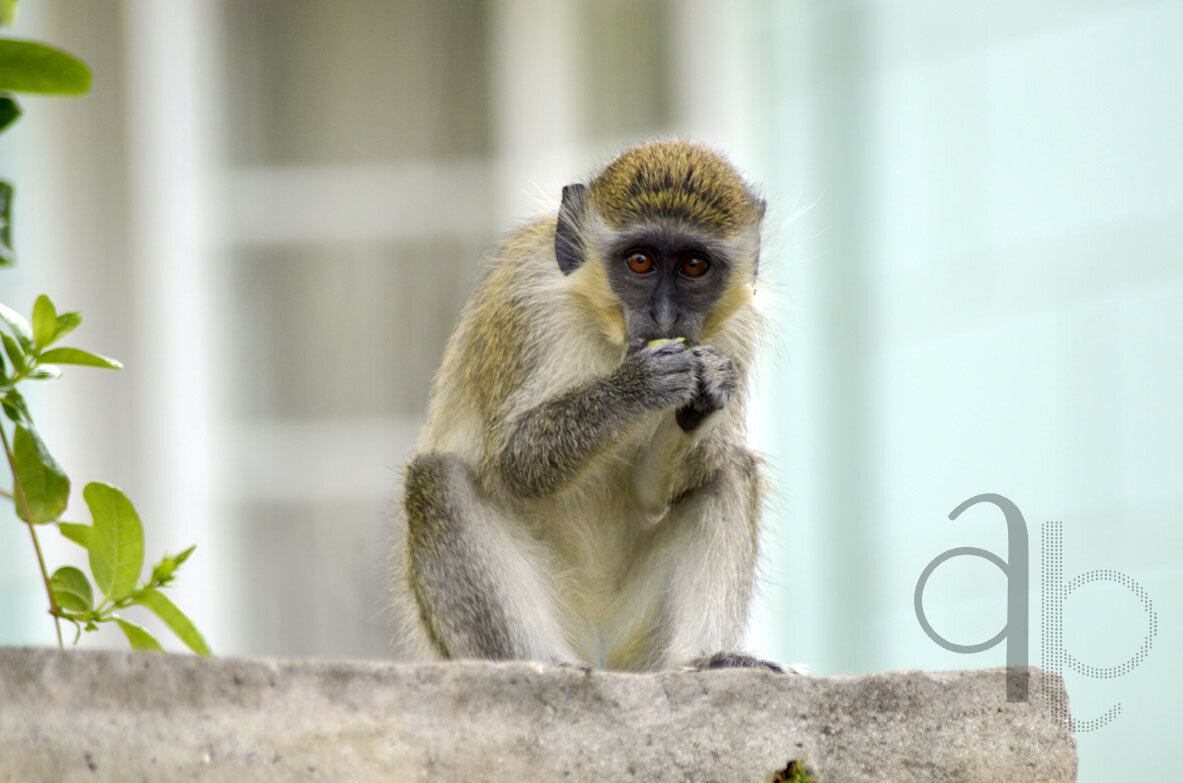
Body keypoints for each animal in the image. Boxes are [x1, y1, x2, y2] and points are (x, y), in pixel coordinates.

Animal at [390, 139, 782, 673]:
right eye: (639, 261)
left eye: (694, 266)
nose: (664, 317)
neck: (606, 329)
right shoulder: (520, 301)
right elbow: (514, 462)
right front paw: (638, 385)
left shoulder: (733, 333)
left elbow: (649, 493)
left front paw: (709, 390)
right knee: (436, 478)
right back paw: (539, 664)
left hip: (636, 637)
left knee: (729, 468)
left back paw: (705, 659)